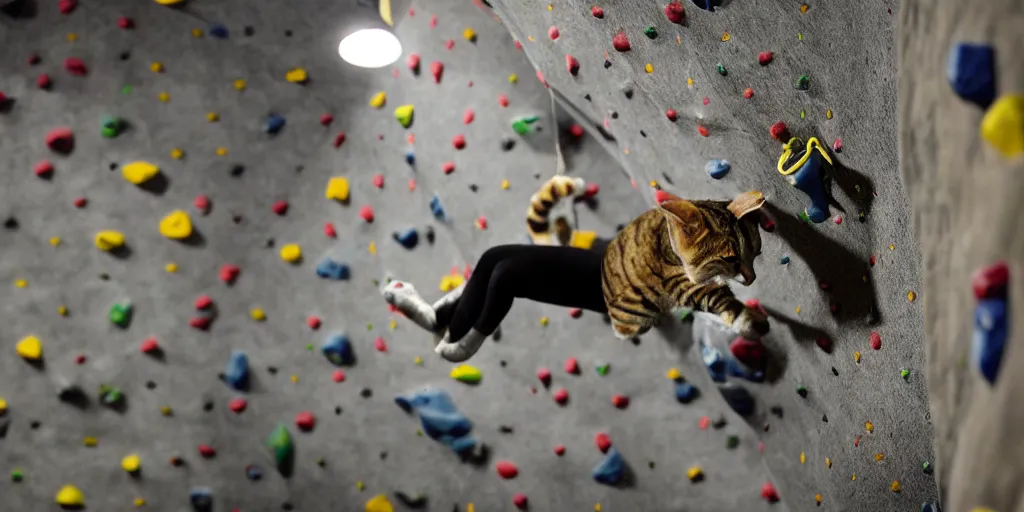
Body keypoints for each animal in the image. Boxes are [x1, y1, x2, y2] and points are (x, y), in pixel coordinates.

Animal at [598, 191, 770, 339]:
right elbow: (726, 304)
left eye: (756, 253)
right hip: (634, 320)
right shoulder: (684, 286)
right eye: (730, 259)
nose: (752, 278)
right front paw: (754, 325)